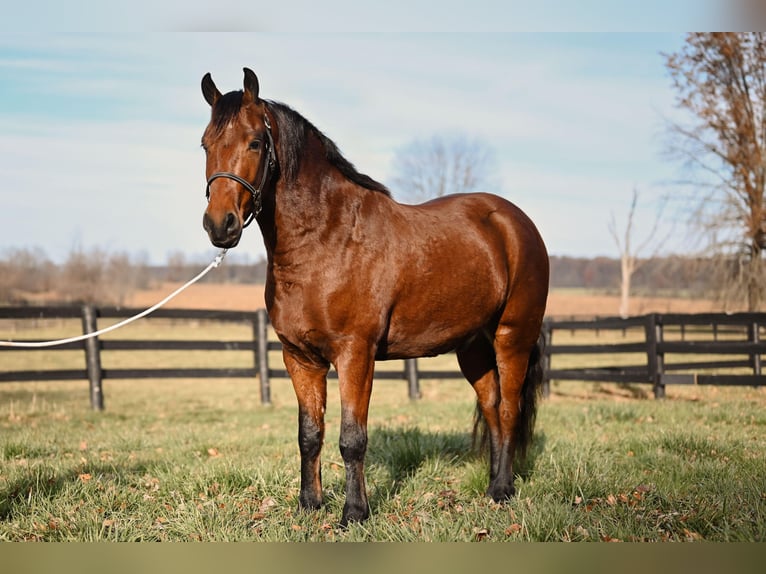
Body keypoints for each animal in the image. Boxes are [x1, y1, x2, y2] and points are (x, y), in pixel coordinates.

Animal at [201, 67, 548, 528]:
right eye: (205, 144)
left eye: (255, 142)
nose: (219, 225)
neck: (326, 239)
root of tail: (514, 222)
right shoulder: (299, 357)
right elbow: (310, 434)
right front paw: (310, 505)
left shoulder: (355, 354)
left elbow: (352, 438)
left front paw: (354, 513)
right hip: (473, 347)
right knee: (491, 407)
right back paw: (493, 482)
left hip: (513, 336)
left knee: (509, 409)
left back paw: (502, 491)